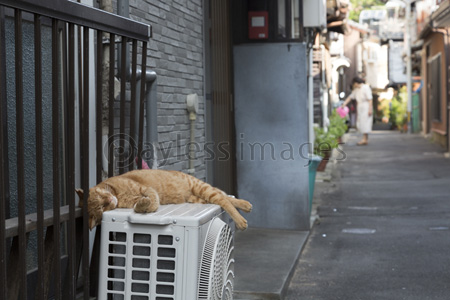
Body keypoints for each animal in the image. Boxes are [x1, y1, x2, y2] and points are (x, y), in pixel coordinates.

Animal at [77, 170, 253, 231]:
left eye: (101, 198)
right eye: (101, 208)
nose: (109, 199)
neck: (117, 194)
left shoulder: (146, 189)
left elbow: (154, 201)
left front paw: (150, 206)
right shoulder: (137, 197)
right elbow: (140, 205)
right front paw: (143, 205)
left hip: (201, 188)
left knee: (224, 199)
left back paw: (242, 216)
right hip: (199, 198)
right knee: (223, 198)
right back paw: (245, 207)